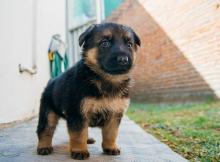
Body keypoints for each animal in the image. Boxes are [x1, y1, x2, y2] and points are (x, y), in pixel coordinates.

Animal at [35, 22, 140, 159]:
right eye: (105, 43)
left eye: (129, 45)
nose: (123, 59)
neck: (107, 79)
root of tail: (51, 81)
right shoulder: (78, 113)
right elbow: (79, 134)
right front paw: (79, 151)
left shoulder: (114, 114)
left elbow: (111, 133)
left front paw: (110, 147)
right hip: (48, 114)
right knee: (45, 130)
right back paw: (44, 147)